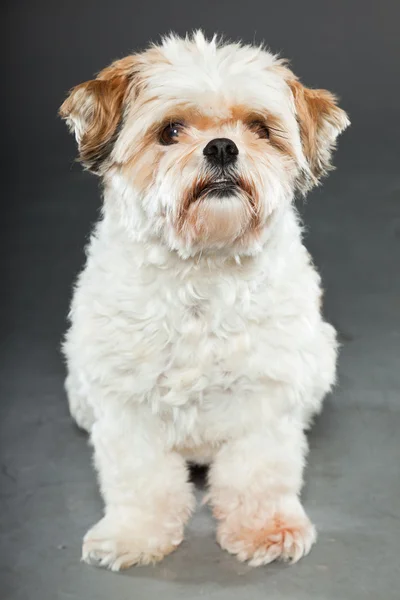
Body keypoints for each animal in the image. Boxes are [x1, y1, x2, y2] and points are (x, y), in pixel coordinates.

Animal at [60, 31, 350, 572]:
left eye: (259, 129)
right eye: (170, 131)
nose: (221, 146)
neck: (202, 268)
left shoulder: (265, 401)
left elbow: (258, 474)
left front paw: (265, 530)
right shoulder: (127, 407)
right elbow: (140, 481)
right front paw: (134, 534)